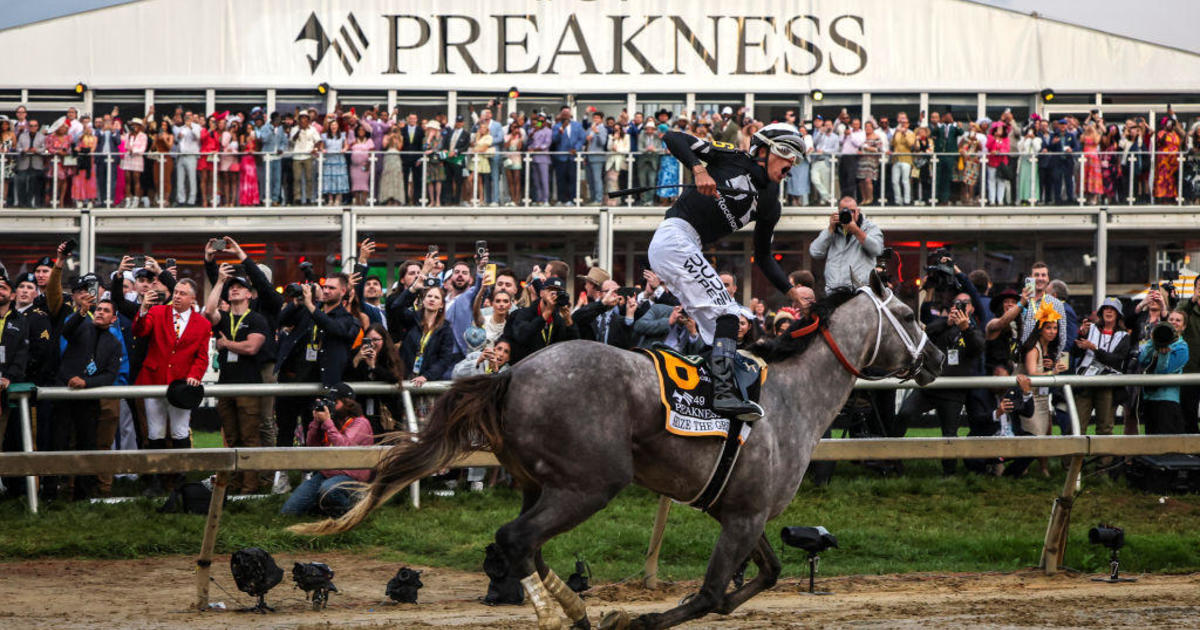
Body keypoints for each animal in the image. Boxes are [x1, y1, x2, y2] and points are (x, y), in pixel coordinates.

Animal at [290, 277, 936, 624]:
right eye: (906, 314)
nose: (934, 359)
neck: (789, 400)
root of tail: (512, 372)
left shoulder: (740, 512)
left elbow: (765, 577)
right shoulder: (745, 516)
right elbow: (709, 595)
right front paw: (640, 618)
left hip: (540, 483)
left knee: (523, 546)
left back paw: (571, 609)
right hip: (589, 484)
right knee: (517, 540)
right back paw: (565, 616)